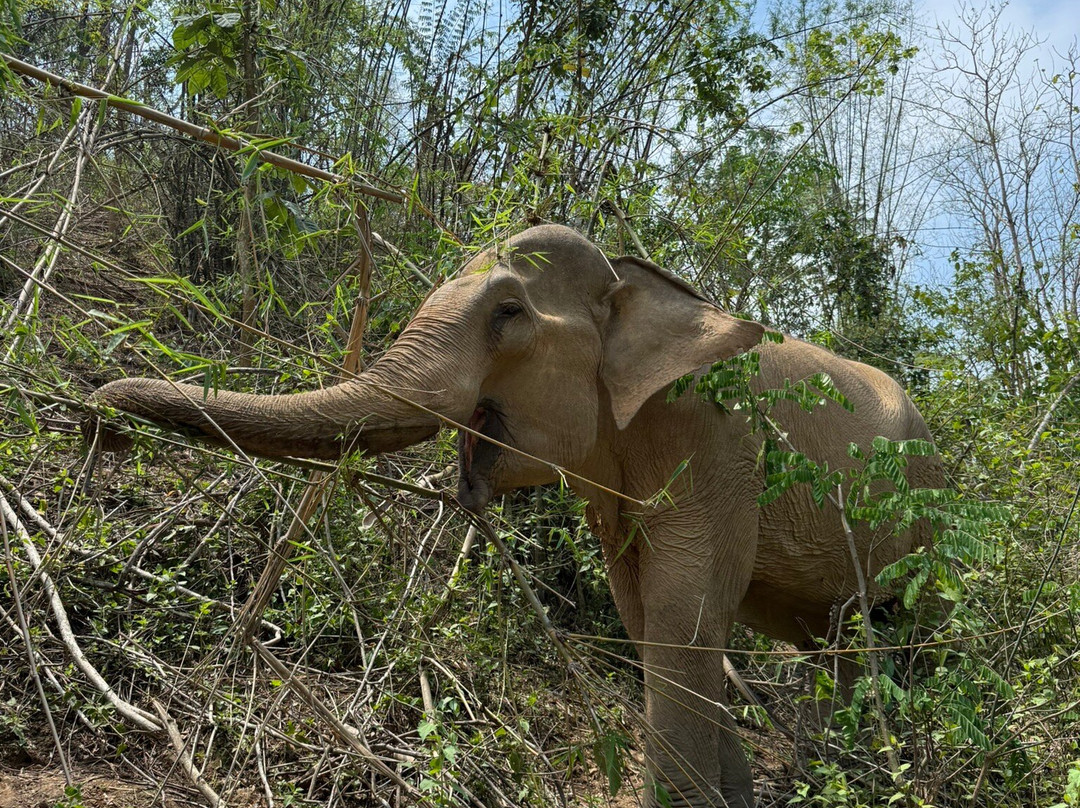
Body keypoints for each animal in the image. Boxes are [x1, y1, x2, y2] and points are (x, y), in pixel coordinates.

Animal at [87, 224, 944, 807]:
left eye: (507, 313)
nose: (103, 421)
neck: (637, 287)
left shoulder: (722, 448)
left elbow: (684, 612)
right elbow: (643, 616)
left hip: (932, 518)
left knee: (906, 634)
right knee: (838, 642)